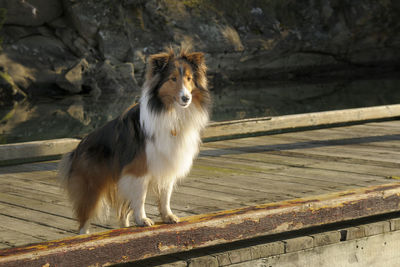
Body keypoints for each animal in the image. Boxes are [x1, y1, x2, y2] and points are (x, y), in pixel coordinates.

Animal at [59, 48, 211, 234]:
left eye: (189, 78)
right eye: (173, 78)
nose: (186, 98)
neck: (171, 113)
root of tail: (77, 148)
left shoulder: (167, 164)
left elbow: (165, 195)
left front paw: (167, 216)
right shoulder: (138, 171)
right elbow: (140, 198)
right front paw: (142, 219)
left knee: (122, 214)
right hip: (91, 189)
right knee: (83, 222)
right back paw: (83, 236)